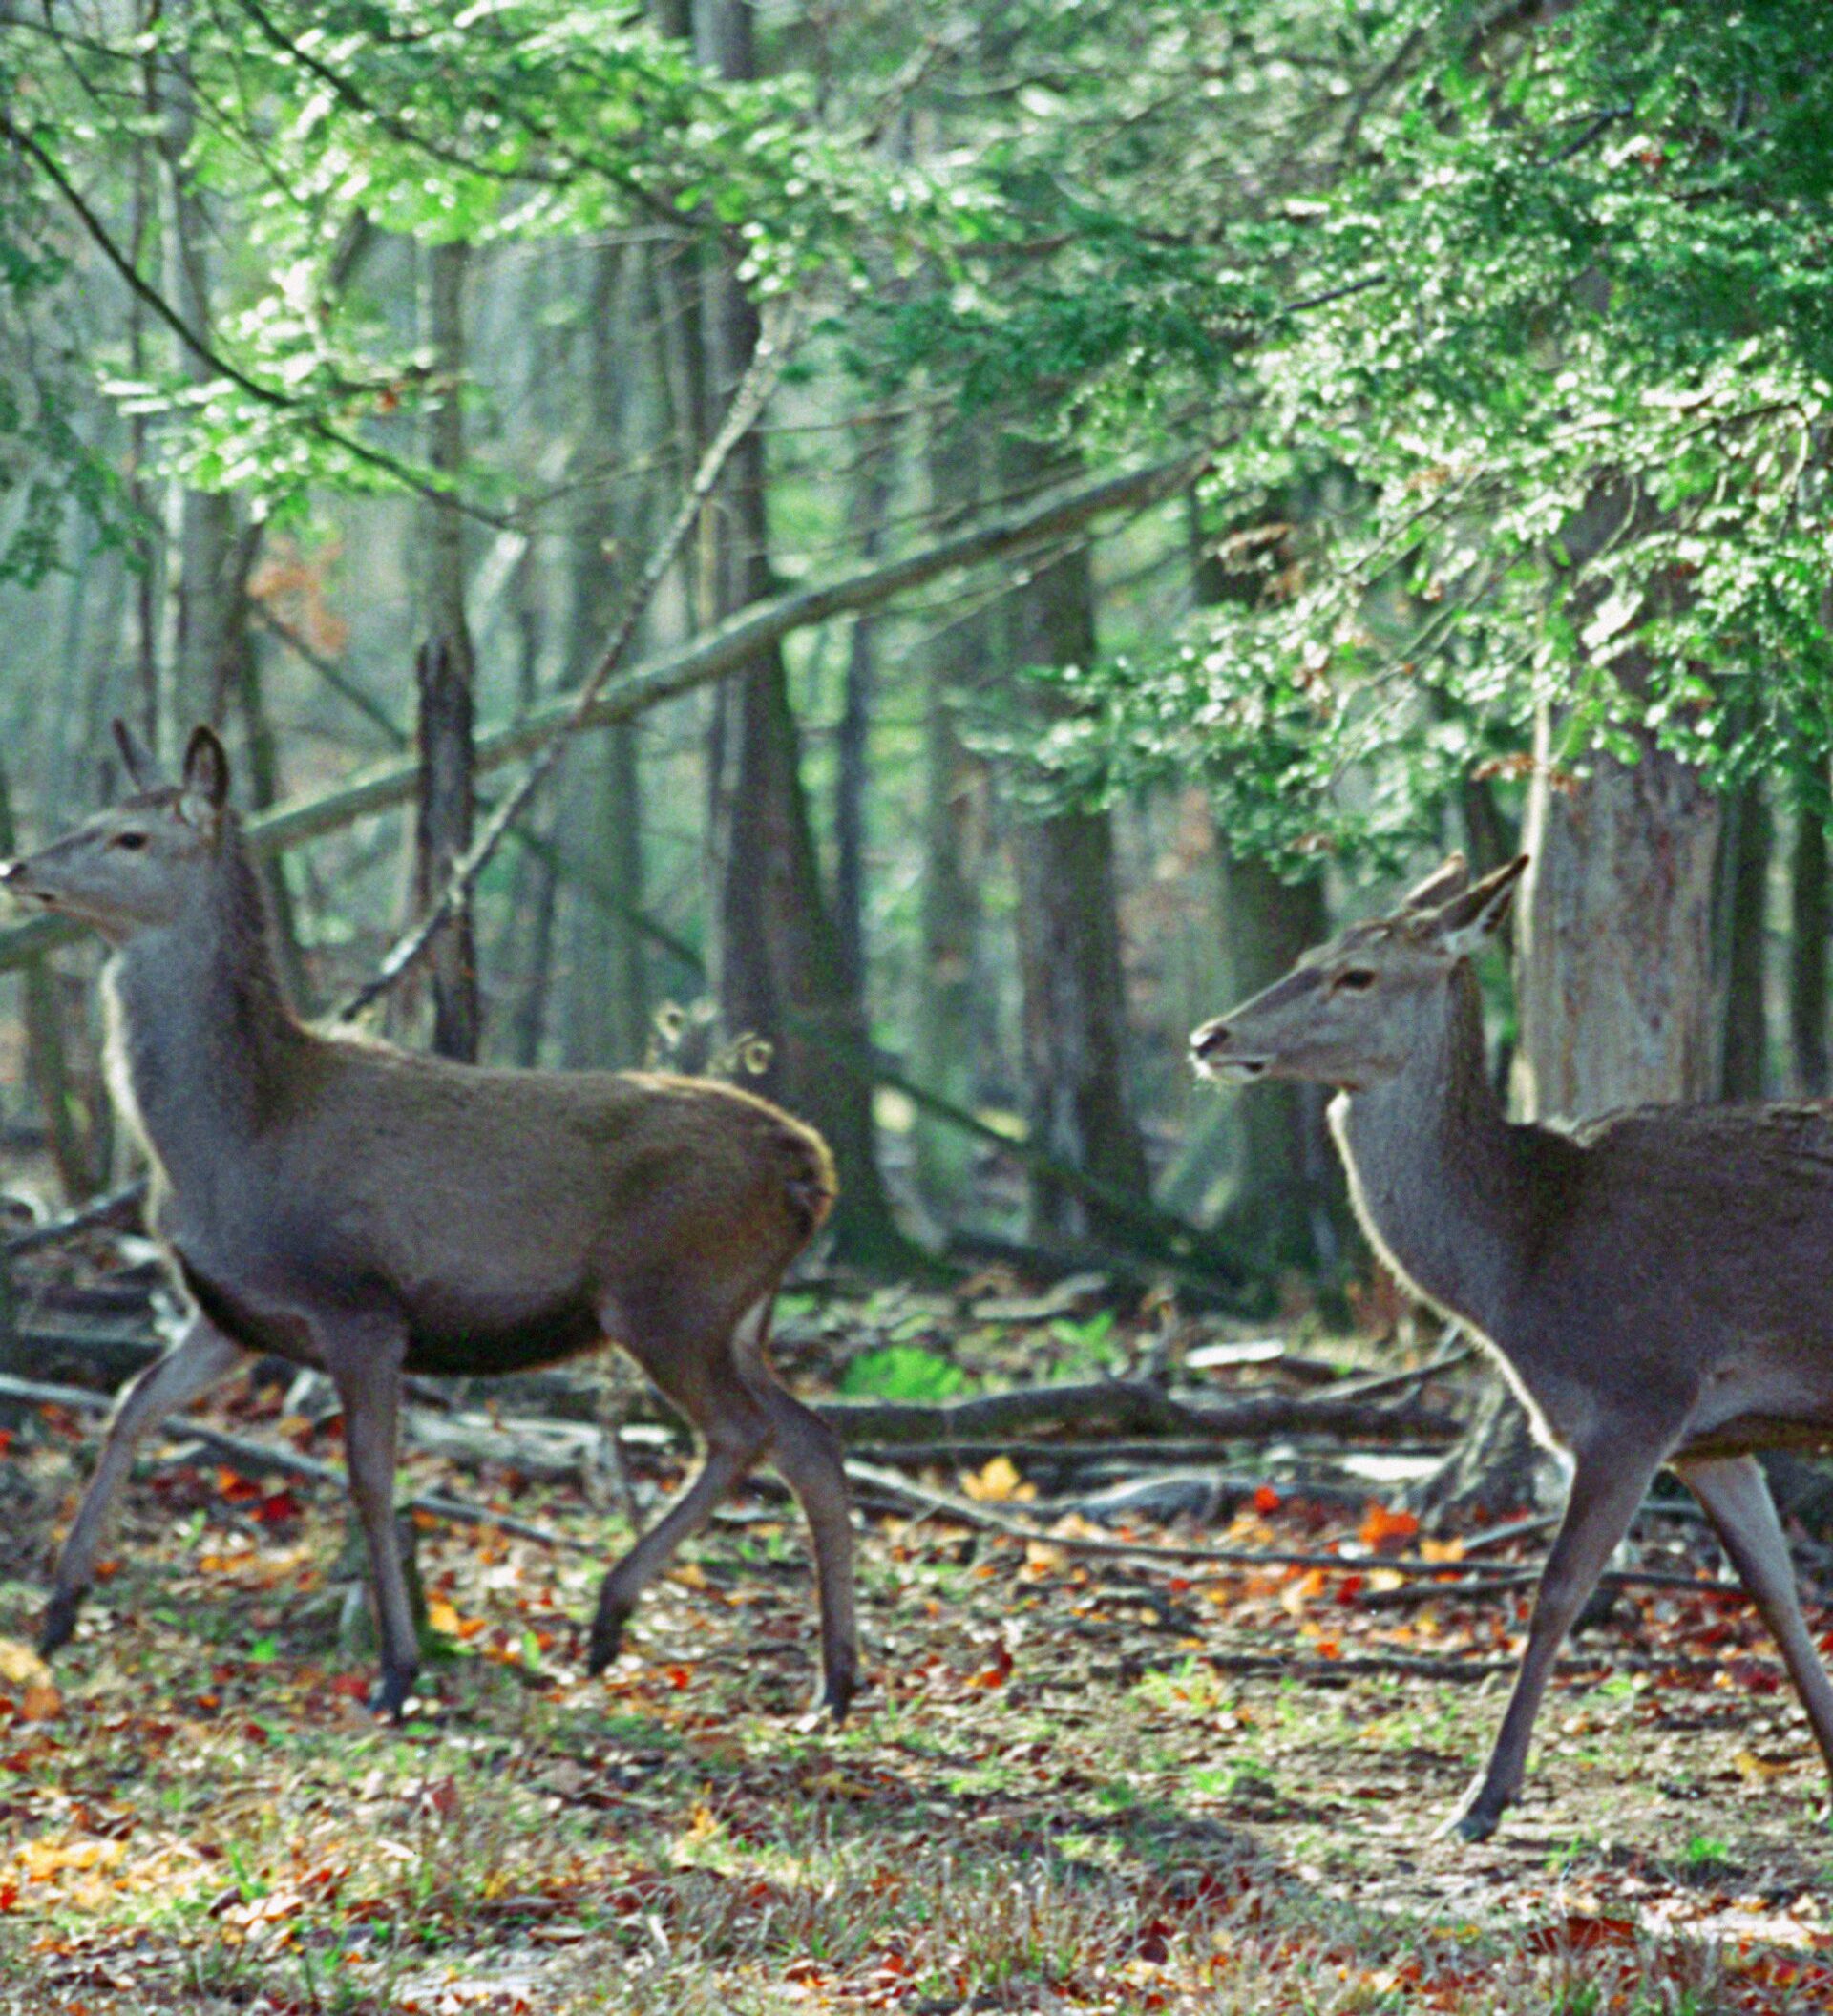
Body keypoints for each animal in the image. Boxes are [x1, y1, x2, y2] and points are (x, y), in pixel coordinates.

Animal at [3, 725, 863, 1717]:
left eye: (131, 837)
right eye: (97, 815)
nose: (18, 865)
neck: (232, 1140)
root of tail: (813, 1168)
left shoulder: (359, 1303)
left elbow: (371, 1477)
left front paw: (398, 1669)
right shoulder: (231, 1314)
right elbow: (130, 1407)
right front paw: (59, 1611)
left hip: (670, 1293)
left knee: (741, 1433)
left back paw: (612, 1615)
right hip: (738, 1314)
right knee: (811, 1440)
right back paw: (835, 1680)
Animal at [1193, 850, 1830, 1846]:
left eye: (1357, 975)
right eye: (1306, 954)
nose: (1209, 1036)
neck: (1523, 1259)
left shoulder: (1638, 1393)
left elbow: (1558, 1588)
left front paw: (1482, 1799)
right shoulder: (1714, 1438)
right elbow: (1776, 1596)